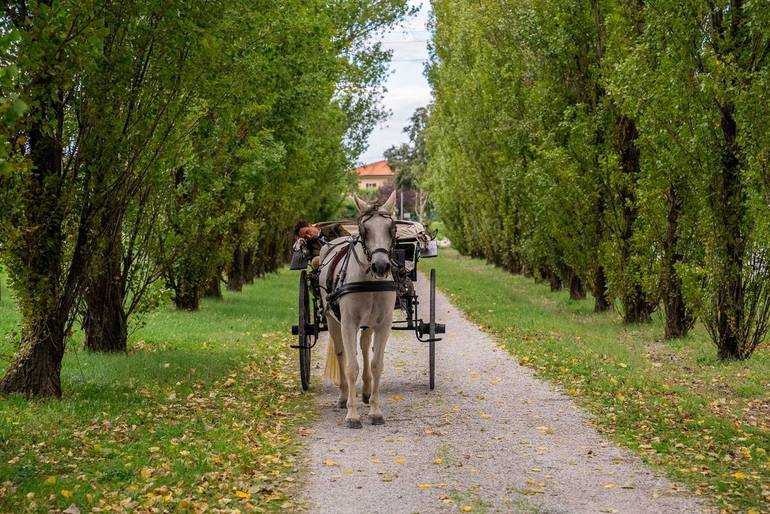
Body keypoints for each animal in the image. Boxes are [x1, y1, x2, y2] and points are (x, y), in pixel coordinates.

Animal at [318, 192, 396, 428]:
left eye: (391, 228)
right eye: (364, 230)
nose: (381, 266)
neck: (369, 279)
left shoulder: (384, 324)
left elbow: (377, 364)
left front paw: (375, 411)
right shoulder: (349, 323)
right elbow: (351, 367)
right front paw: (352, 415)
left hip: (368, 323)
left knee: (363, 347)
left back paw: (367, 392)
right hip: (333, 319)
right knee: (342, 352)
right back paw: (344, 397)